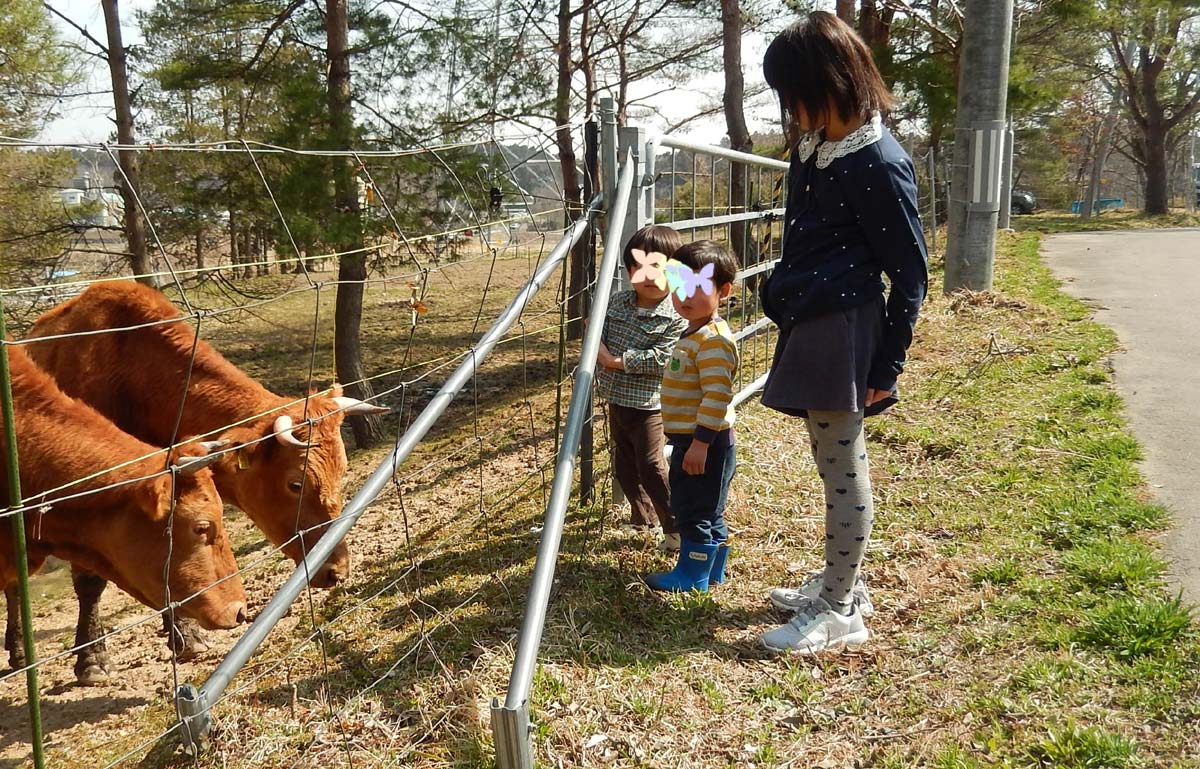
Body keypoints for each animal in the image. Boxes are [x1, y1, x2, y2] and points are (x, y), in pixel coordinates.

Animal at [27, 278, 384, 681]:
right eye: (295, 483)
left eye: (342, 472)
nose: (337, 570)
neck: (133, 374)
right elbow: (92, 582)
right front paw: (92, 660)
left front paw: (185, 636)